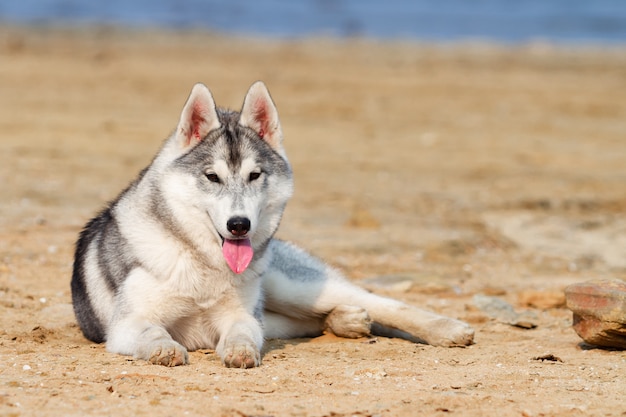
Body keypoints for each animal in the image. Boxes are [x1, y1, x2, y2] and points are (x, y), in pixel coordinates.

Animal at [70, 81, 470, 368]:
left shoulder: (242, 316)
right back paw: (346, 321)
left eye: (254, 175)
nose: (239, 225)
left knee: (383, 303)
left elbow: (243, 334)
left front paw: (239, 351)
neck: (202, 263)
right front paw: (164, 348)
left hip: (292, 286)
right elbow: (153, 333)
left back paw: (446, 329)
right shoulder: (126, 325)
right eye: (212, 177)